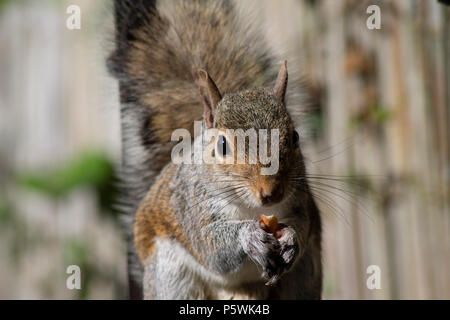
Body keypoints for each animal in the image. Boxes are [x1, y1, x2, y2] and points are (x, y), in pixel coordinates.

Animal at [107, 0, 322, 300]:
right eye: (222, 145)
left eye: (295, 137)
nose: (271, 193)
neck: (251, 208)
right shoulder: (190, 206)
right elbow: (212, 247)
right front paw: (248, 236)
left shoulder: (301, 200)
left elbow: (304, 223)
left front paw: (291, 238)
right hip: (170, 274)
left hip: (304, 276)